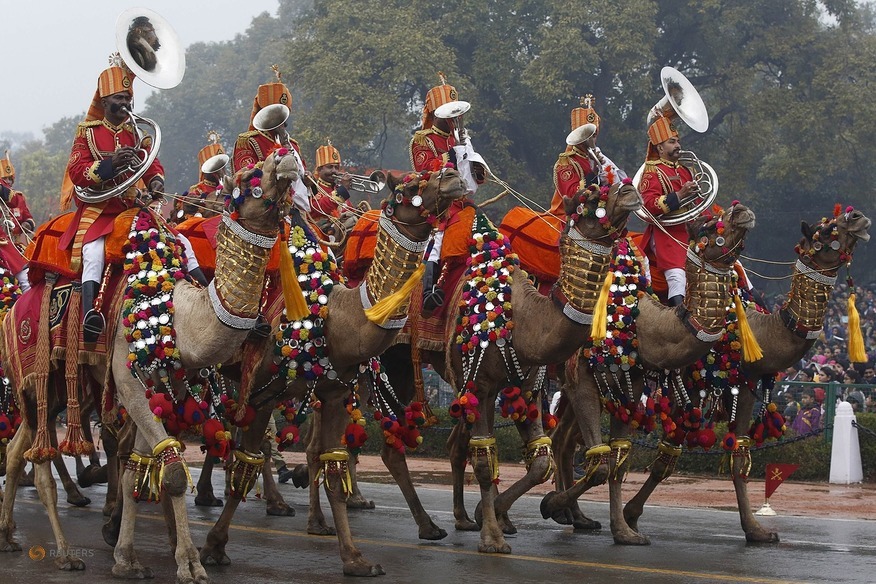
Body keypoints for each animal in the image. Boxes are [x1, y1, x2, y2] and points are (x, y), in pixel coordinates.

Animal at [0, 148, 300, 580]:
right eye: (248, 178)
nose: (285, 157)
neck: (173, 314)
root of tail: (13, 311)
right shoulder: (128, 381)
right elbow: (170, 474)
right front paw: (190, 564)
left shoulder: (164, 385)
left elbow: (138, 470)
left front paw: (127, 558)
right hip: (34, 374)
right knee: (39, 462)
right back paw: (65, 554)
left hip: (51, 390)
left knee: (17, 451)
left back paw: (9, 535)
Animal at [544, 201, 756, 544]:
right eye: (709, 227)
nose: (741, 211)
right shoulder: (581, 377)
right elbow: (603, 465)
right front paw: (550, 504)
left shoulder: (631, 381)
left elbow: (618, 460)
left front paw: (624, 530)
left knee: (562, 439)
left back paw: (577, 517)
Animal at [620, 206, 872, 544]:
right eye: (827, 228)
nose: (857, 217)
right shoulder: (688, 386)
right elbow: (667, 455)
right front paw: (630, 515)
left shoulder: (744, 385)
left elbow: (738, 454)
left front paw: (756, 530)